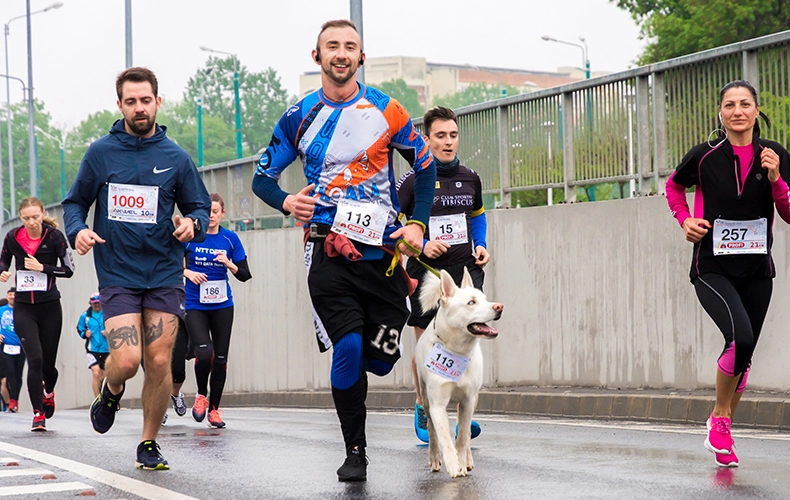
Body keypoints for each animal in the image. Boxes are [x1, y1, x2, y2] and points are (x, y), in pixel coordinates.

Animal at [412, 268, 504, 478]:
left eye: (485, 299)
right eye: (471, 302)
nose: (499, 306)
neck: (457, 351)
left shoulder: (468, 400)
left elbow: (462, 436)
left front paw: (461, 462)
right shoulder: (437, 404)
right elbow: (444, 437)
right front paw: (453, 465)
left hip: (473, 399)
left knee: (467, 432)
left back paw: (468, 461)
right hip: (426, 398)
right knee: (432, 431)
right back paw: (435, 457)